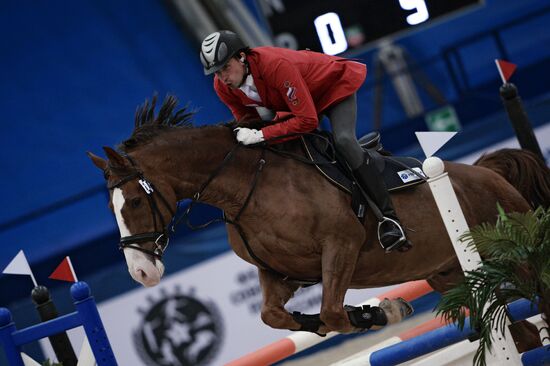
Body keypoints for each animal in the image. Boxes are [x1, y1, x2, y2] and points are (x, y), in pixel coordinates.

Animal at [88, 96, 548, 334]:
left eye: (133, 202)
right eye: (111, 208)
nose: (141, 273)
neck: (247, 185)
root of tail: (488, 172)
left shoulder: (341, 246)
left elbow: (331, 312)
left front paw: (382, 311)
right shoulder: (281, 272)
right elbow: (275, 316)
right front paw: (380, 311)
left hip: (518, 259)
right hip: (451, 274)